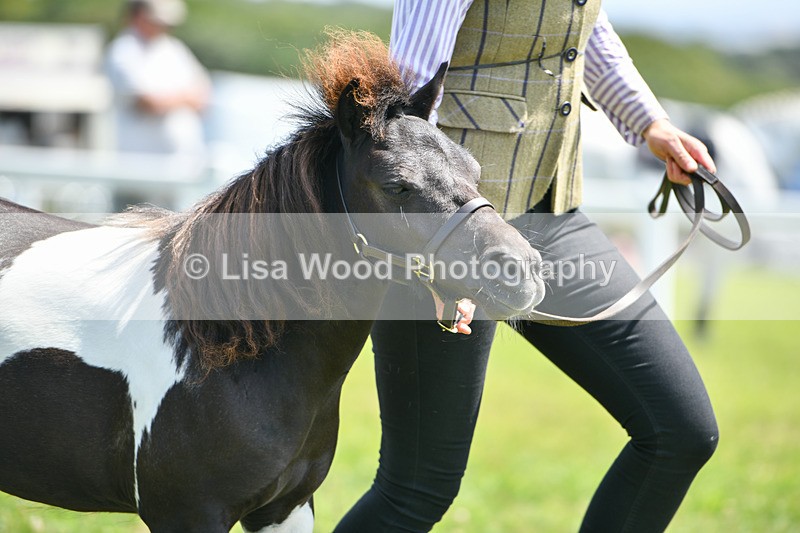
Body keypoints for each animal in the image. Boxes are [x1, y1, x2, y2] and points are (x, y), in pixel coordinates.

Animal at [0, 32, 544, 532]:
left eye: (474, 168)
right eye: (397, 185)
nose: (522, 270)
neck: (220, 345)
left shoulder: (286, 508)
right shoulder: (187, 515)